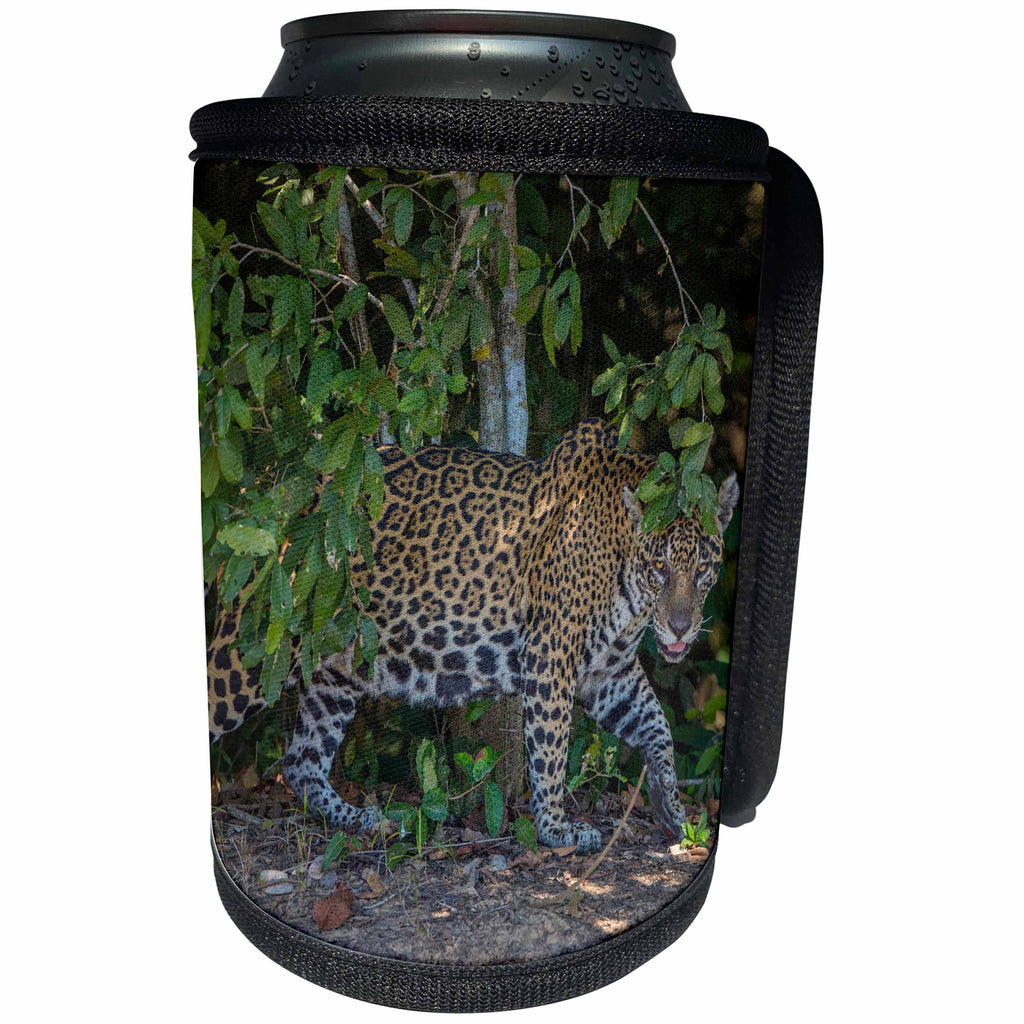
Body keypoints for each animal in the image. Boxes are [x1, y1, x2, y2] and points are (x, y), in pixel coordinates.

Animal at [207, 419, 739, 853]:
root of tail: (276, 486)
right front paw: (556, 829)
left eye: (703, 568)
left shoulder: (609, 673)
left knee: (302, 763)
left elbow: (658, 726)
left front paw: (671, 808)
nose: (681, 626)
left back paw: (365, 820)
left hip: (338, 665)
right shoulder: (550, 654)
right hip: (249, 655)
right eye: (660, 567)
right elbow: (550, 750)